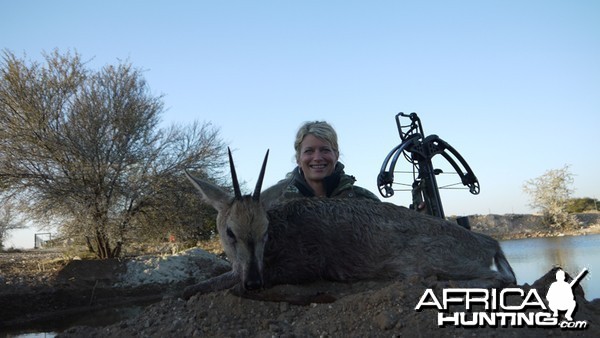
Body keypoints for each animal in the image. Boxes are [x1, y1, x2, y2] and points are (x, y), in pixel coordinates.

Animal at [183, 149, 516, 300]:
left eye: (264, 232)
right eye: (229, 232)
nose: (253, 282)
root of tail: (491, 242)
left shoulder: (300, 268)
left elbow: (197, 287)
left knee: (501, 279)